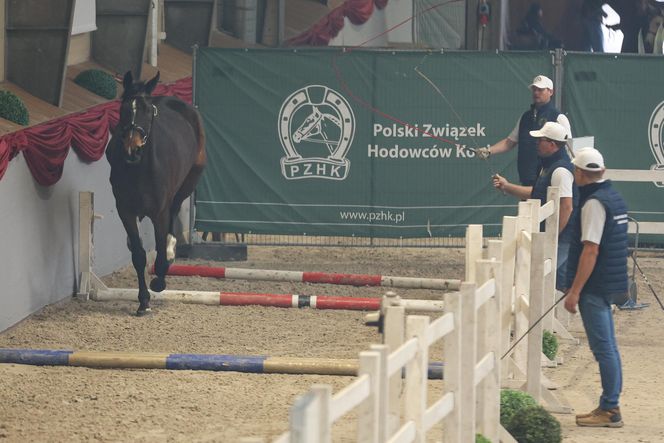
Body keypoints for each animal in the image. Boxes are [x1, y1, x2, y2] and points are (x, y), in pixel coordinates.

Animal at [107, 71, 205, 316]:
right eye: (124, 109)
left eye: (147, 111)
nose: (132, 150)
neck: (139, 169)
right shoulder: (126, 211)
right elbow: (139, 255)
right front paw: (143, 301)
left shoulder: (159, 213)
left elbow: (159, 251)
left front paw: (158, 281)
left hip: (189, 182)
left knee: (175, 209)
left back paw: (170, 252)